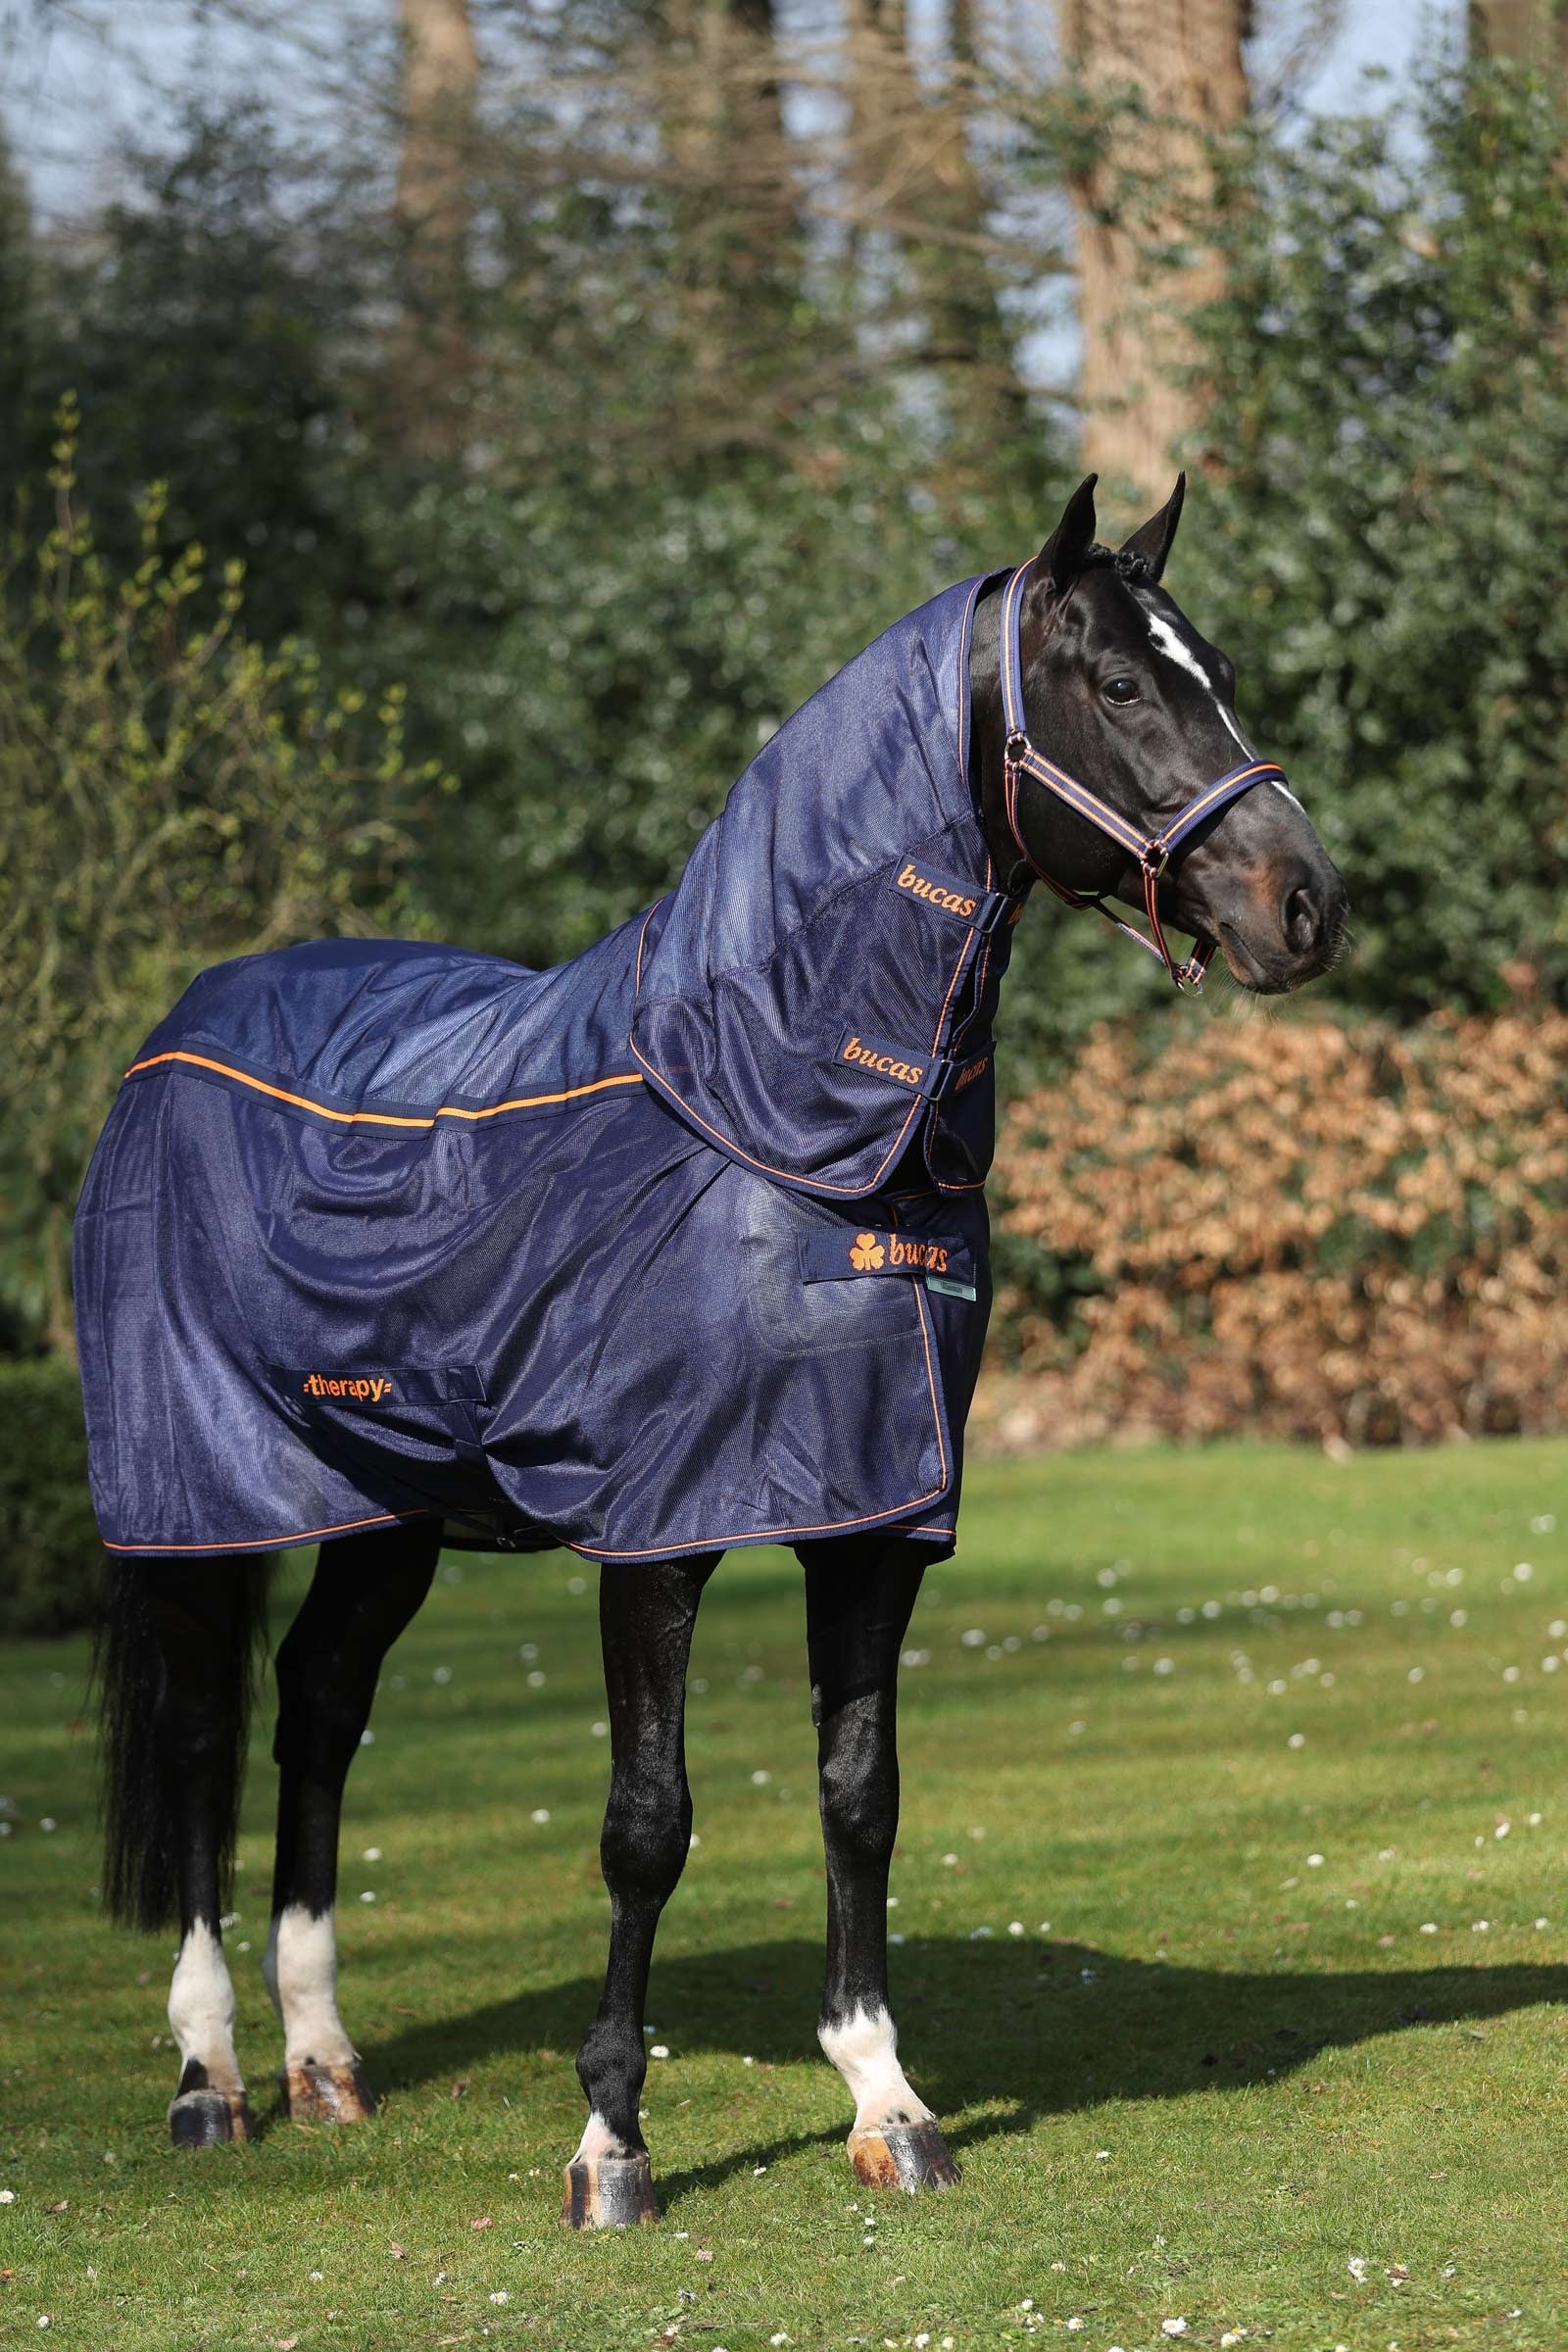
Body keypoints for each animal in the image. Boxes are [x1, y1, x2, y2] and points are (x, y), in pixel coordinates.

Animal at [79, 472, 1347, 2225]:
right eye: (1120, 683)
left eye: (1213, 668)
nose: (1308, 908)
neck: (762, 1112)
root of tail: (173, 1035)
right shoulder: (657, 1534)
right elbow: (647, 1824)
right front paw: (611, 2144)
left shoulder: (876, 1516)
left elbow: (861, 1799)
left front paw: (889, 2103)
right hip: (202, 1501)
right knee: (205, 1737)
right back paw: (210, 2080)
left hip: (385, 1506)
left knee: (320, 1706)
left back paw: (325, 2064)